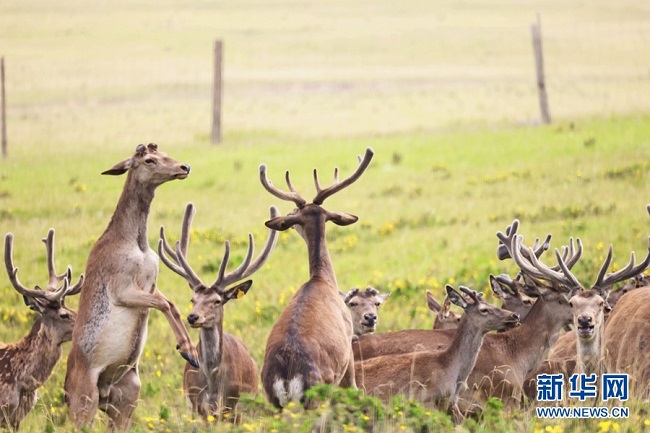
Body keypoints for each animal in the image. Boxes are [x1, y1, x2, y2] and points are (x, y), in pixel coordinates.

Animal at [65, 143, 199, 430]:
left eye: (163, 153)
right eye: (148, 159)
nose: (184, 167)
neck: (134, 241)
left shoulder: (152, 283)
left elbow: (171, 304)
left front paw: (191, 352)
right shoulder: (124, 290)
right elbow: (162, 304)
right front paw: (187, 350)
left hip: (126, 401)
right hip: (85, 403)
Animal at [159, 202, 278, 418]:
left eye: (217, 301)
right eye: (193, 299)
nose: (193, 317)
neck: (213, 382)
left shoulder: (233, 406)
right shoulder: (196, 406)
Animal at [256, 147, 372, 406]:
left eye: (296, 213)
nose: (289, 215)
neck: (322, 279)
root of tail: (287, 377)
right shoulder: (349, 344)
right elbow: (356, 389)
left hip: (272, 399)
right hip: (322, 388)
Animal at [352, 284, 520, 422]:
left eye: (491, 303)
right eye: (484, 310)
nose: (514, 315)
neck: (449, 369)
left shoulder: (451, 403)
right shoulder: (425, 400)